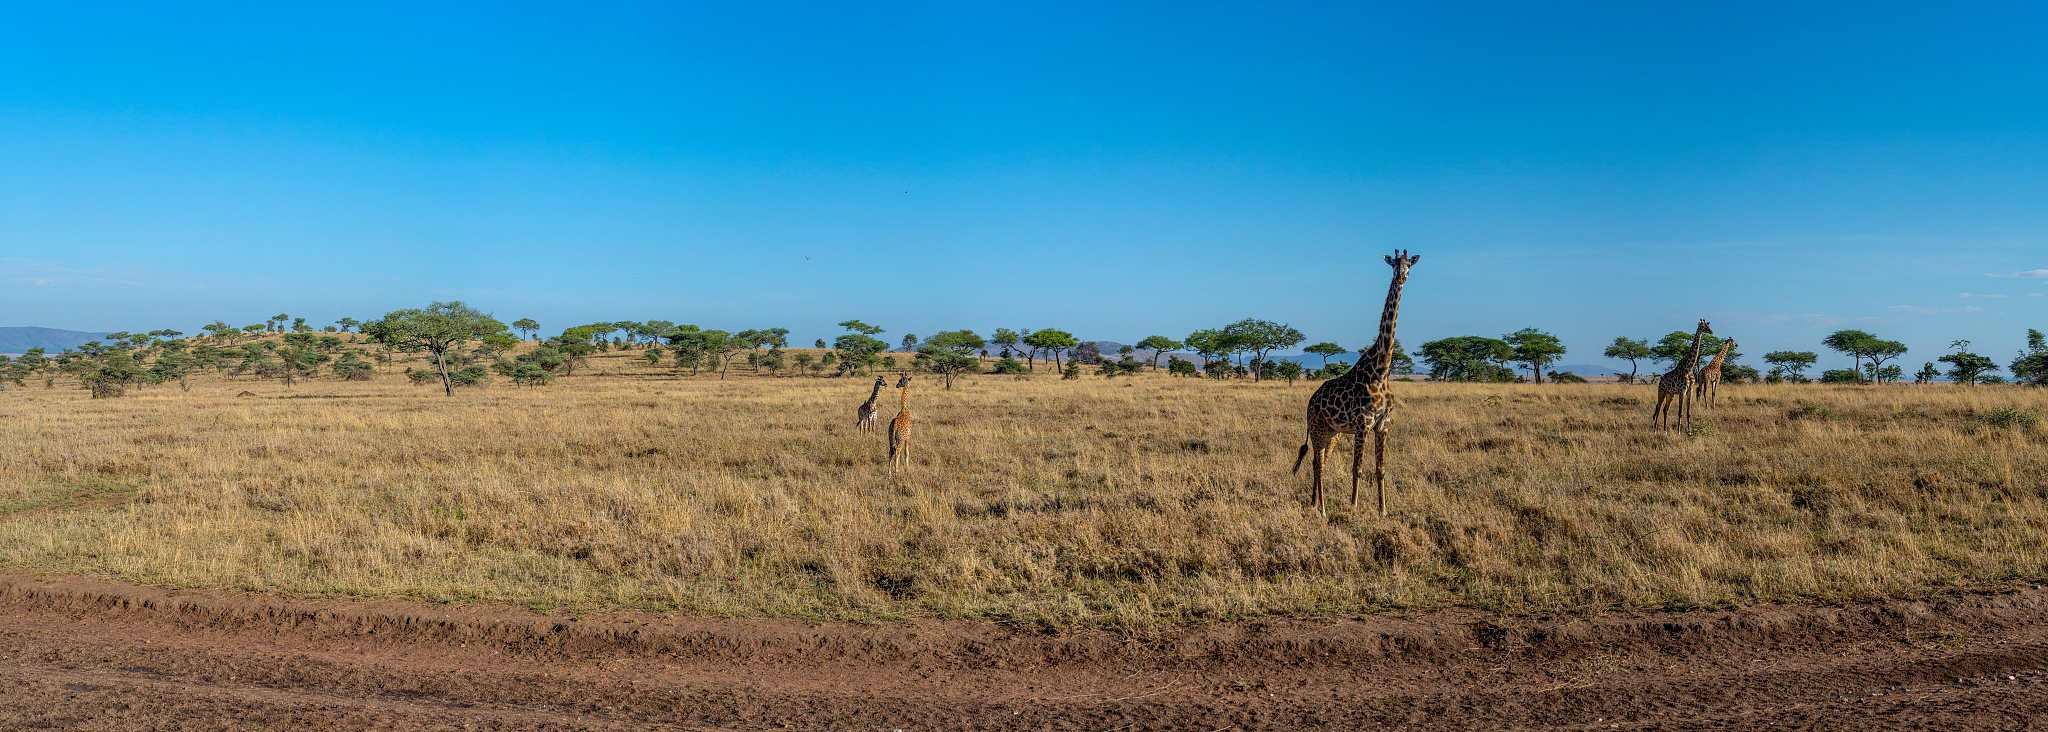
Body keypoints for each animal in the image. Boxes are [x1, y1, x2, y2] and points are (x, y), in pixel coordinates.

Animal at [1291, 250, 1418, 517]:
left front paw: (1383, 510)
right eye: (1394, 264)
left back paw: (1314, 503)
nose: (1401, 277)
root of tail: (1310, 402)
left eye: (1409, 264)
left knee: (1319, 462)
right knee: (1319, 463)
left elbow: (1381, 469)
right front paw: (1353, 507)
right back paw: (1323, 510)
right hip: (1317, 427)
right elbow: (1357, 469)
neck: (1381, 371)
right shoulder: (1363, 424)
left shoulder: (1383, 425)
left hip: (1333, 432)